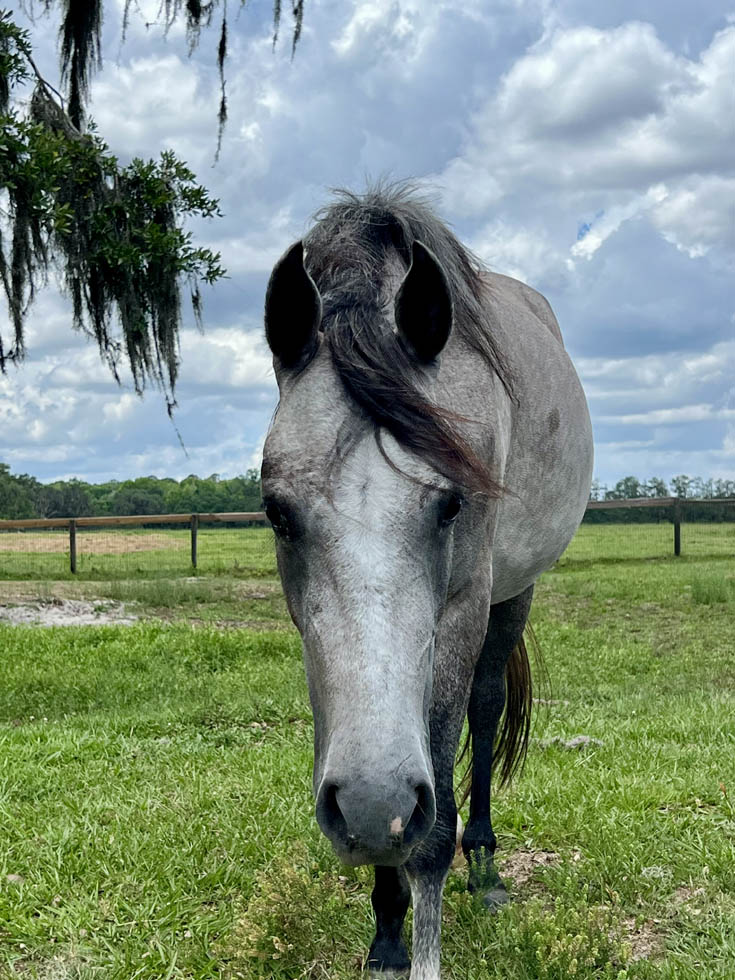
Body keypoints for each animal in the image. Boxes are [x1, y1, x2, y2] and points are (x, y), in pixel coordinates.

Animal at [261, 184, 593, 980]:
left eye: (451, 504)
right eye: (275, 512)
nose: (370, 801)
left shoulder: (462, 613)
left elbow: (433, 823)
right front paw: (386, 934)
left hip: (511, 594)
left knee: (485, 706)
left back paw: (487, 868)